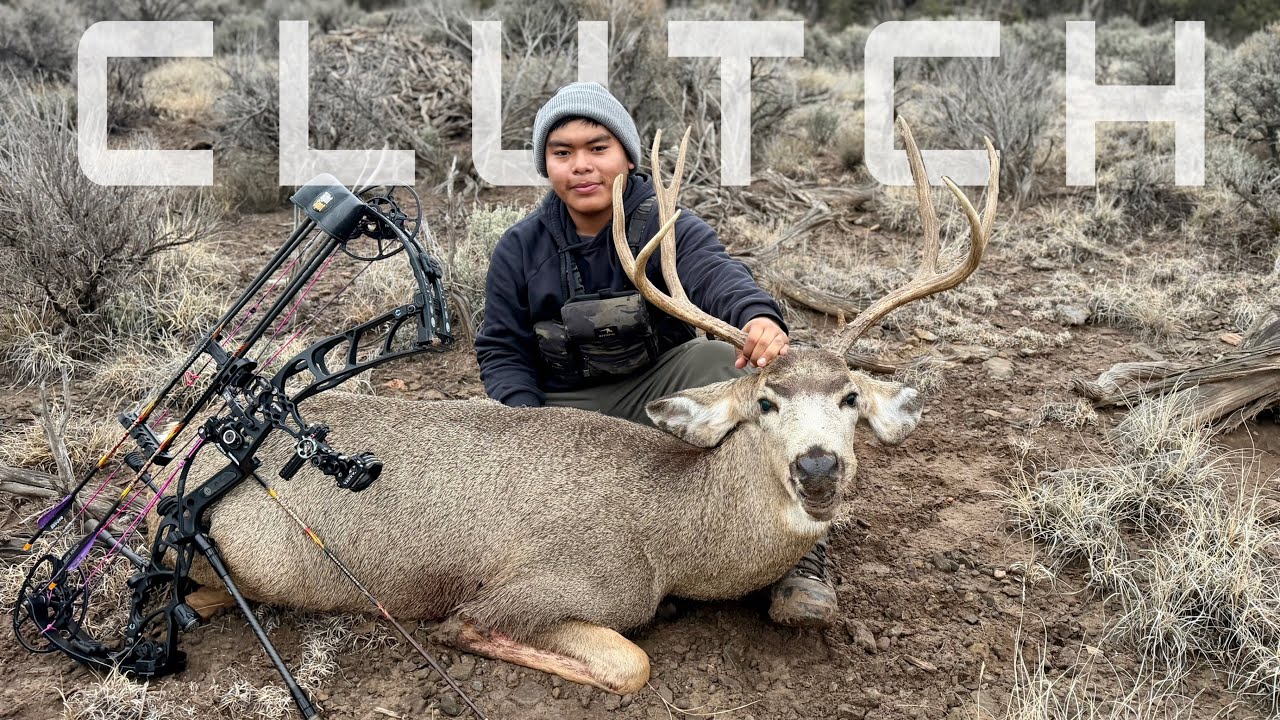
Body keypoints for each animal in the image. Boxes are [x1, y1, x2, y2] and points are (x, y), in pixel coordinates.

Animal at [176, 117, 998, 696]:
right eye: (765, 401)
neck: (668, 533)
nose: (820, 467)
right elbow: (623, 660)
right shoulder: (544, 587)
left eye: (851, 397)